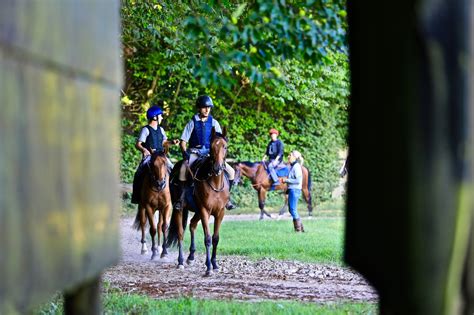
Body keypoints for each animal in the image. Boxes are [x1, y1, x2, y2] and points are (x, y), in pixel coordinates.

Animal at [168, 128, 231, 276]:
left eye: (225, 147)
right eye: (212, 147)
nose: (217, 168)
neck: (215, 183)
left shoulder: (220, 213)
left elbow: (215, 238)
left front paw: (215, 264)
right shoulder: (204, 211)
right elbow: (207, 239)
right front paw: (208, 268)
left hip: (197, 211)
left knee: (192, 225)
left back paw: (191, 257)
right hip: (180, 209)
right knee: (180, 233)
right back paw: (180, 261)